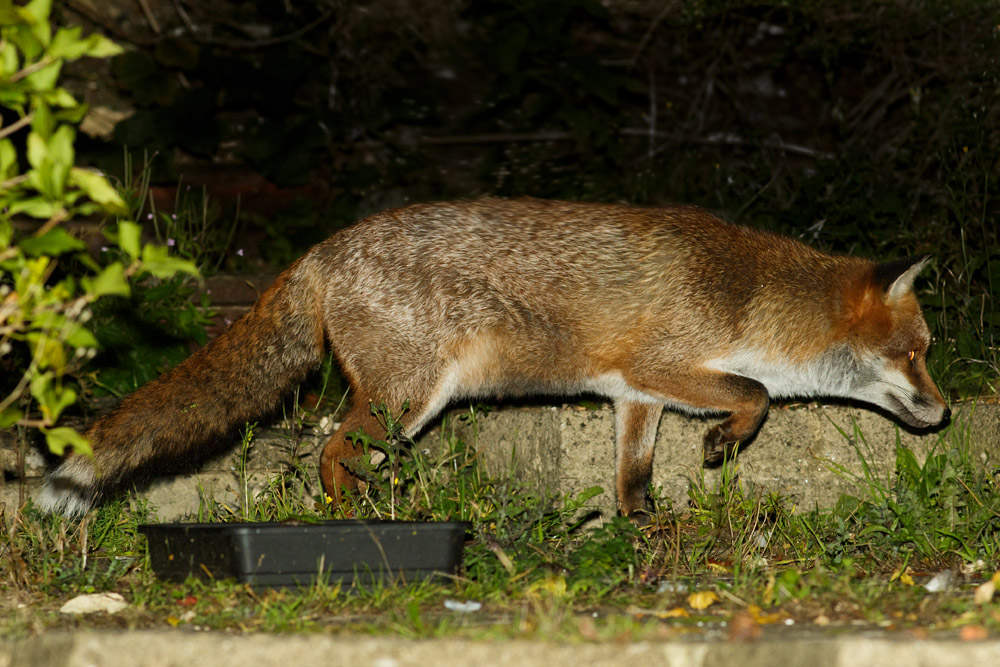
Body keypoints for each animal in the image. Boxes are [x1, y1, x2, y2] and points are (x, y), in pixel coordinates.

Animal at [36, 198, 950, 518]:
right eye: (915, 354)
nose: (945, 412)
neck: (747, 297)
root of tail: (323, 249)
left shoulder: (635, 396)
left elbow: (634, 480)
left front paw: (642, 531)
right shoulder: (666, 364)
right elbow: (757, 392)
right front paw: (725, 443)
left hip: (407, 408)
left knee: (337, 449)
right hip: (407, 400)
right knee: (330, 451)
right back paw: (356, 520)